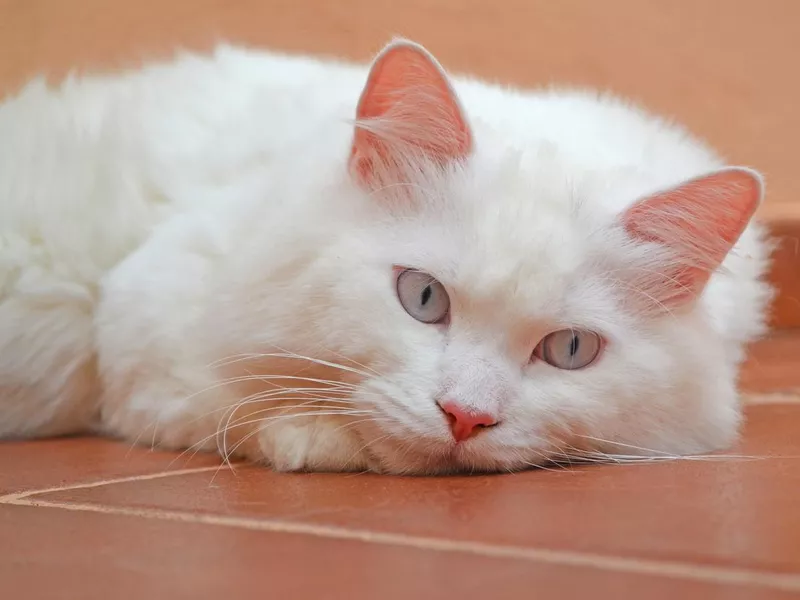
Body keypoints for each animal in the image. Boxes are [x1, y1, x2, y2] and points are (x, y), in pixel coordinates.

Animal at [1, 39, 776, 476]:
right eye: (423, 298)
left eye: (570, 349)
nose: (465, 417)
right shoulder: (142, 327)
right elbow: (231, 403)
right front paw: (317, 436)